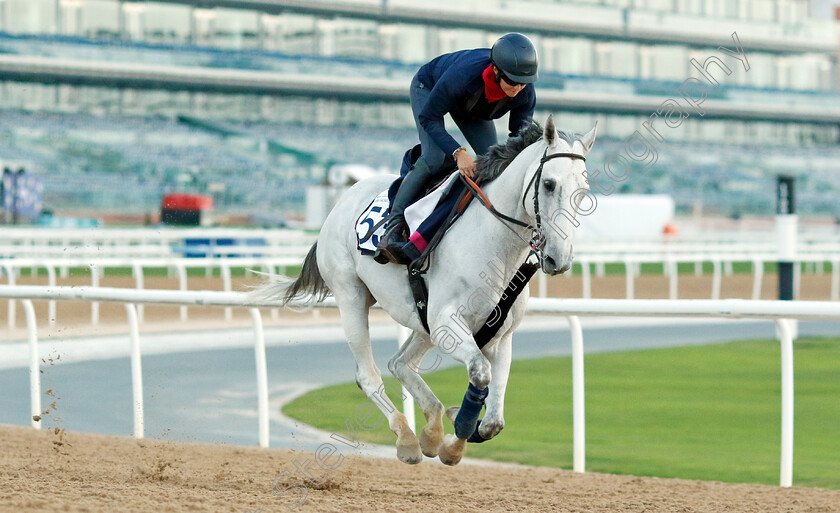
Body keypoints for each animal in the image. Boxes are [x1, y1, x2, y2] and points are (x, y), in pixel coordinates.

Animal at [262, 115, 596, 464]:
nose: (559, 258)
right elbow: (480, 374)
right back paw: (408, 439)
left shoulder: (500, 336)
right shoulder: (448, 322)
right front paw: (455, 436)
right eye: (549, 184)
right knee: (368, 374)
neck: (495, 248)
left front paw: (456, 431)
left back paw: (433, 427)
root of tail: (341, 201)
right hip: (350, 295)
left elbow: (494, 421)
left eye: (584, 191)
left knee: (400, 363)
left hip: (422, 319)